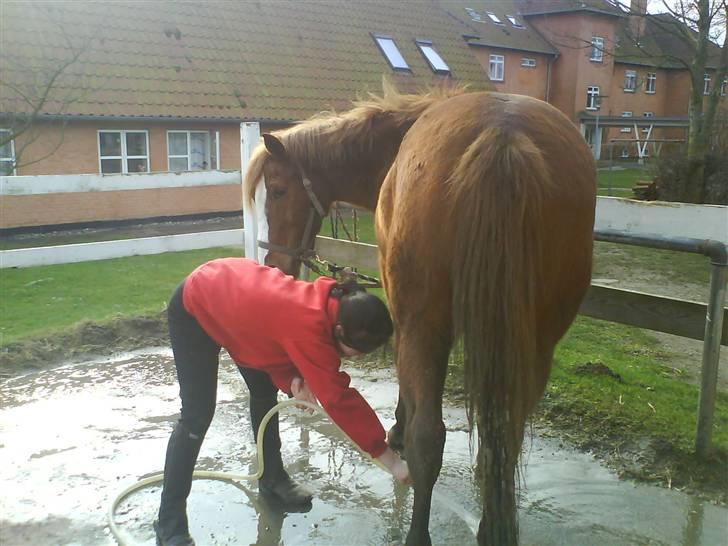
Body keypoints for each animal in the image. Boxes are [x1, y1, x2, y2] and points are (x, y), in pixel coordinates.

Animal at [245, 87, 596, 540]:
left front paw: (395, 430)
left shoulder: (405, 317)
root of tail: (504, 136)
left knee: (429, 439)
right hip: (534, 344)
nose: (273, 264)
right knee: (506, 435)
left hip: (428, 325)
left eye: (279, 190)